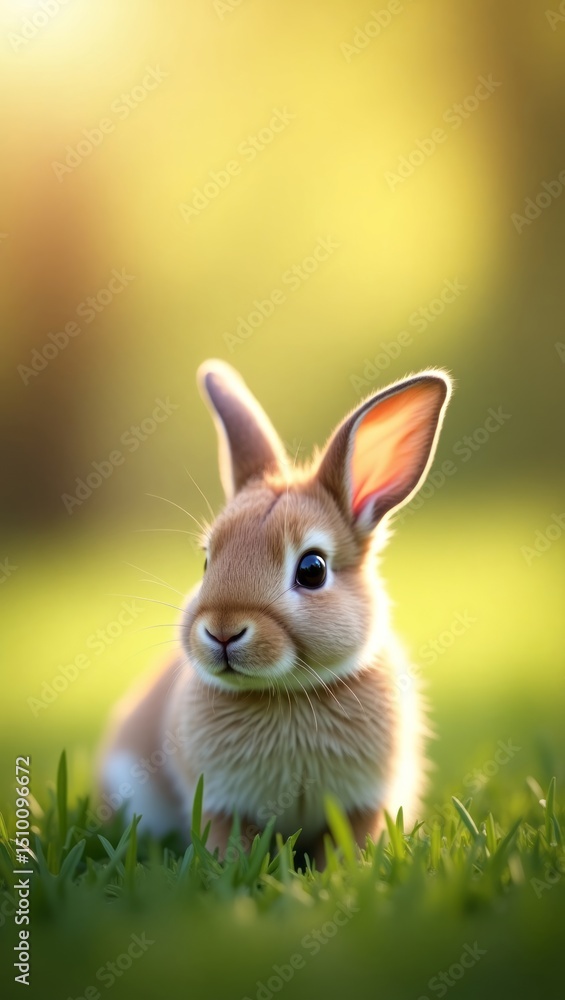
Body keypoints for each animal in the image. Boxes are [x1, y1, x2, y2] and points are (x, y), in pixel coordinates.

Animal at [98, 359, 452, 862]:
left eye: (312, 569)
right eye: (207, 561)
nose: (222, 632)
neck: (287, 694)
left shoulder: (363, 804)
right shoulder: (222, 804)